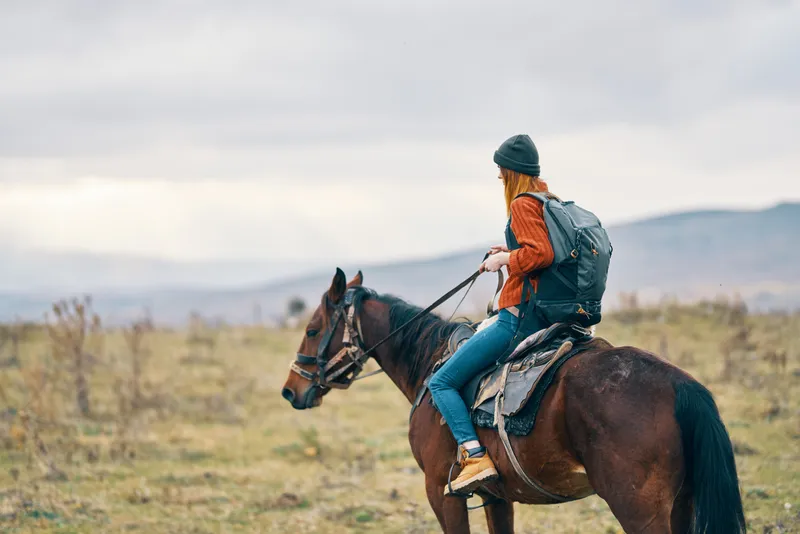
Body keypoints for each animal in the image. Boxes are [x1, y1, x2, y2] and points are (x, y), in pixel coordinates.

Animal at [280, 269, 746, 534]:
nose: (291, 390)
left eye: (312, 329)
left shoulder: (441, 493)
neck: (431, 367)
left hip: (639, 510)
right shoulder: (497, 497)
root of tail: (681, 384)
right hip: (682, 504)